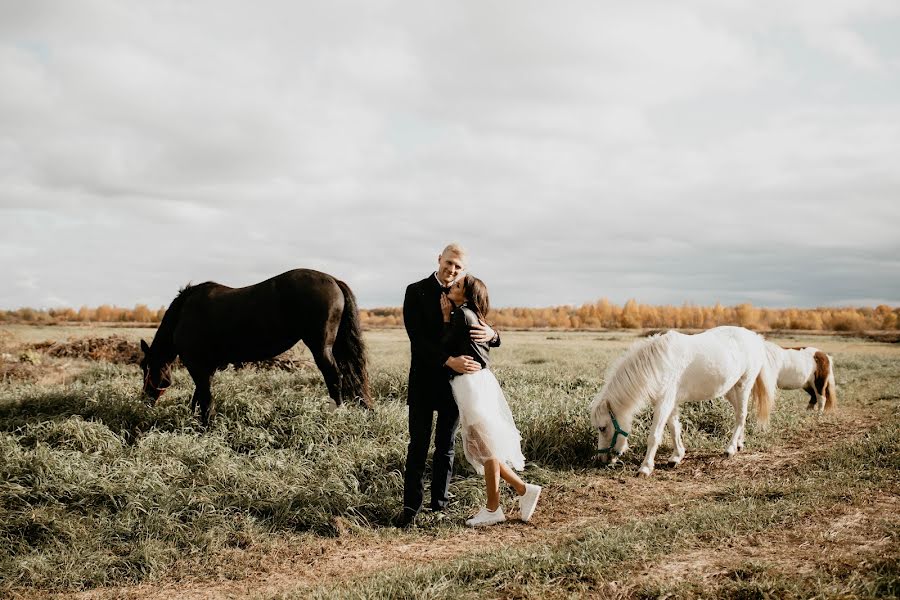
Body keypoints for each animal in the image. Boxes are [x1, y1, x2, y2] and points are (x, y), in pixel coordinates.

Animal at [139, 270, 370, 424]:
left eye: (145, 367)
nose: (144, 401)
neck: (184, 313)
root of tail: (333, 281)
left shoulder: (197, 365)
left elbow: (204, 397)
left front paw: (206, 425)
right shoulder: (207, 367)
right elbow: (199, 395)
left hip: (321, 348)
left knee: (334, 376)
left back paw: (334, 413)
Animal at [592, 326, 772, 476]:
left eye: (602, 428)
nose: (601, 460)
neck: (658, 364)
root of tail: (755, 338)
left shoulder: (664, 403)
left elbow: (654, 435)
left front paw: (645, 468)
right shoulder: (669, 402)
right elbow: (674, 428)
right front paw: (677, 457)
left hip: (743, 386)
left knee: (741, 415)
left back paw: (730, 449)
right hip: (729, 390)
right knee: (739, 414)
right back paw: (739, 443)